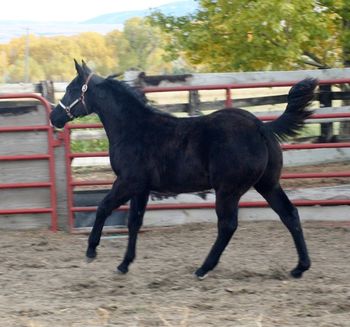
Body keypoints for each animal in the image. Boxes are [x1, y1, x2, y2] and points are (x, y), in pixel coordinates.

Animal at [50, 62, 318, 282]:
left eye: (72, 89)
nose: (55, 117)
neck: (134, 129)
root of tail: (261, 127)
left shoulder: (128, 182)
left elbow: (103, 208)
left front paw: (91, 251)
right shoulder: (142, 189)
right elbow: (134, 222)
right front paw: (124, 264)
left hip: (228, 190)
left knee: (228, 225)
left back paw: (203, 269)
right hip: (267, 184)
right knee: (289, 214)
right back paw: (299, 267)